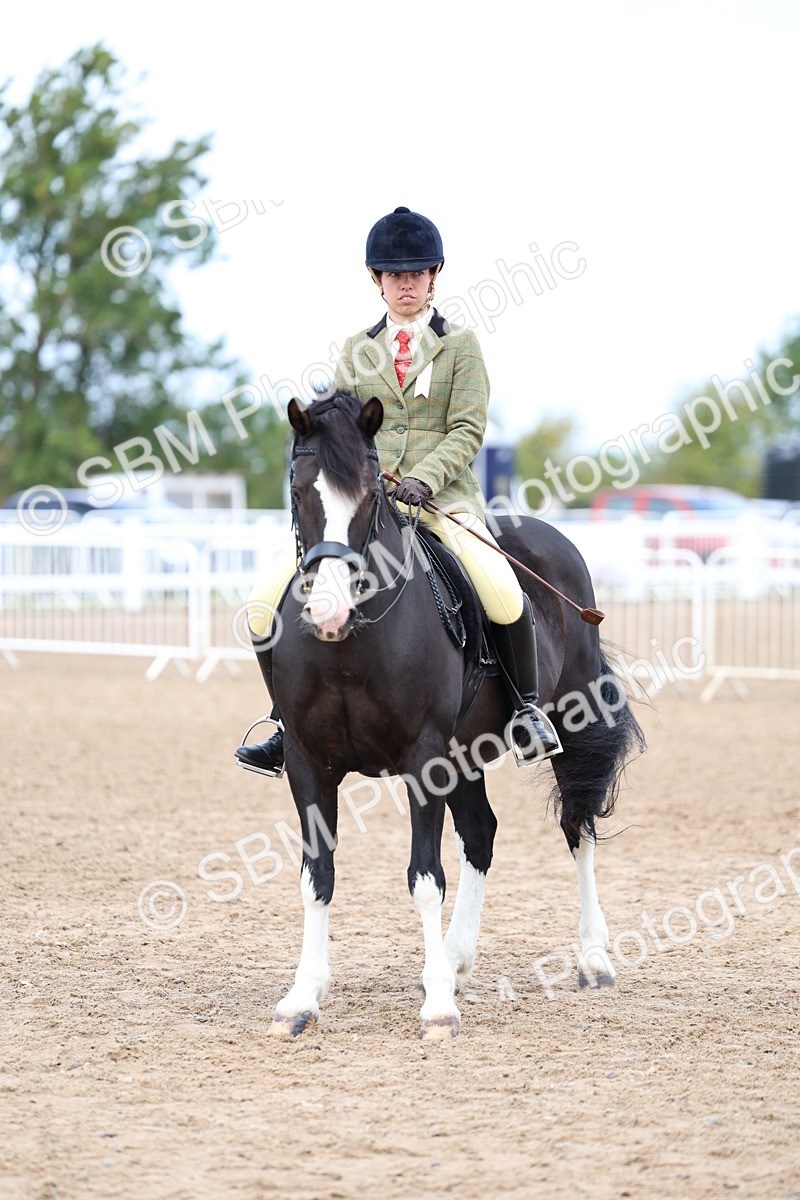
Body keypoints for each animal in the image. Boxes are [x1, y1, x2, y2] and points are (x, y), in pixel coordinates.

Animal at [252, 390, 645, 1041]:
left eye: (371, 496)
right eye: (300, 490)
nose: (329, 613)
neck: (349, 645)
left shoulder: (423, 759)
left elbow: (424, 877)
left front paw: (437, 1008)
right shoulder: (309, 762)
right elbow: (317, 876)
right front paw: (301, 997)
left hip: (572, 723)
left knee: (577, 824)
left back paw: (592, 959)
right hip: (465, 754)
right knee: (482, 833)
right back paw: (459, 959)